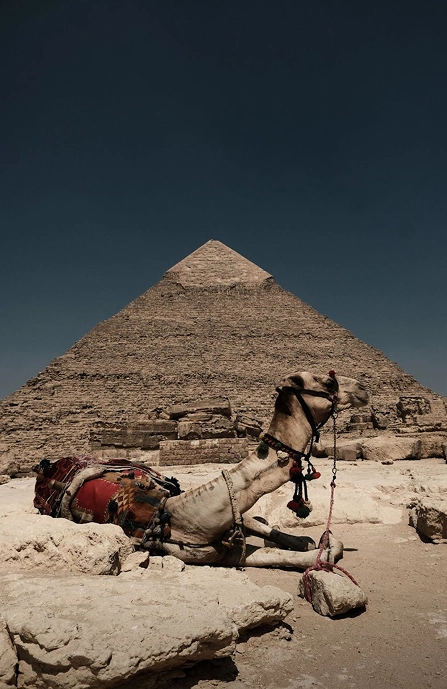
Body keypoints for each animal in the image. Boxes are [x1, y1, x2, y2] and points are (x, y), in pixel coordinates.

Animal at [34, 371, 368, 571]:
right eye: (328, 383)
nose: (364, 388)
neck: (180, 512)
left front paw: (322, 541)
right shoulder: (222, 556)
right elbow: (314, 556)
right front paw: (325, 547)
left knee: (260, 523)